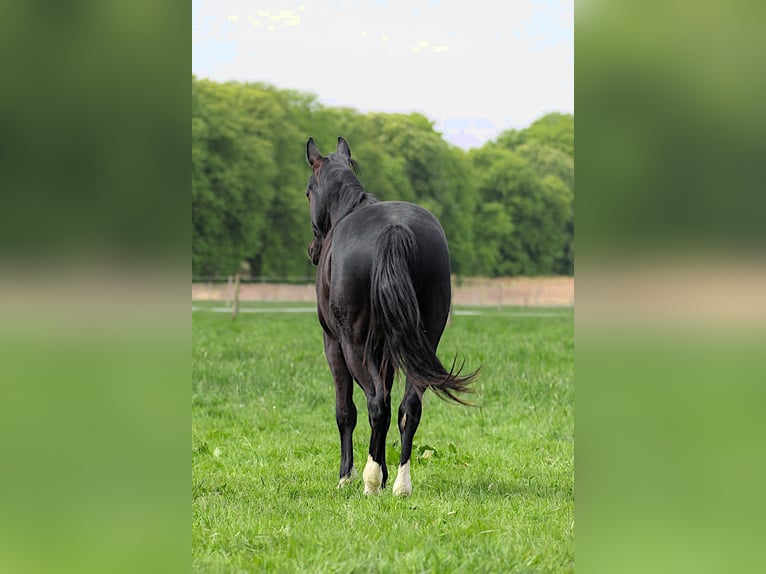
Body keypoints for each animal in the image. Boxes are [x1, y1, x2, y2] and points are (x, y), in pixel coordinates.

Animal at [305, 136, 478, 496]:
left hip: (354, 343)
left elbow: (346, 410)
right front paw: (384, 474)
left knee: (377, 404)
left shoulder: (333, 343)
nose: (313, 251)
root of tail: (394, 230)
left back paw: (370, 481)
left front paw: (347, 477)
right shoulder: (386, 349)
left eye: (308, 192)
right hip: (423, 341)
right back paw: (400, 484)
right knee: (408, 406)